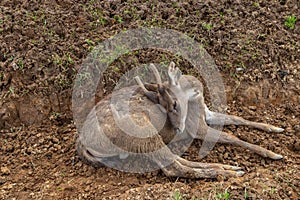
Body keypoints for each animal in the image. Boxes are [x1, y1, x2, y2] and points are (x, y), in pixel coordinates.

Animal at [75, 61, 284, 179]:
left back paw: (228, 166)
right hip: (143, 131)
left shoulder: (206, 114)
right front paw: (272, 153)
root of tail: (84, 143)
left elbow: (237, 117)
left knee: (175, 159)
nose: (177, 128)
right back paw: (229, 172)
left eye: (174, 103)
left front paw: (274, 128)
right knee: (173, 168)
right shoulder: (196, 127)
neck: (197, 99)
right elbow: (231, 136)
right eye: (168, 105)